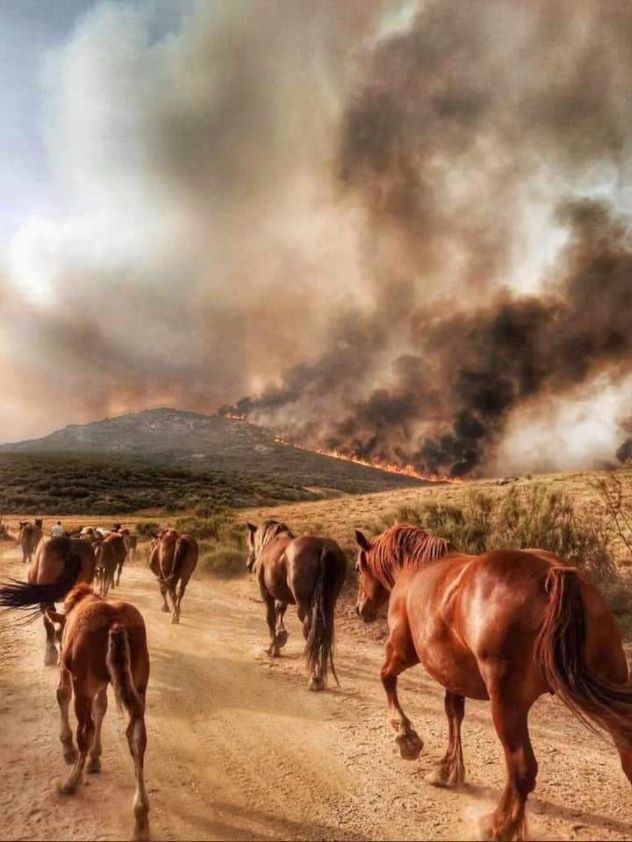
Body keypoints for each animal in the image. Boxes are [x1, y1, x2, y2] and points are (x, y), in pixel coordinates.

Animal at [246, 520, 346, 688]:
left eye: (249, 541)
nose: (248, 565)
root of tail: (323, 546)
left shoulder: (266, 594)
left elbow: (270, 617)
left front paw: (273, 648)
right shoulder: (283, 596)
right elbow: (280, 611)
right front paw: (281, 636)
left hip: (305, 606)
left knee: (312, 632)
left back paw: (315, 677)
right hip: (329, 603)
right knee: (323, 633)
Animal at [356, 520, 632, 836]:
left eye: (358, 568)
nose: (360, 609)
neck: (415, 567)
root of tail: (554, 575)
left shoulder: (402, 651)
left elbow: (386, 678)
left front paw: (406, 738)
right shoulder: (454, 673)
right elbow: (453, 714)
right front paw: (447, 769)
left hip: (506, 704)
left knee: (522, 769)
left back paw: (497, 825)